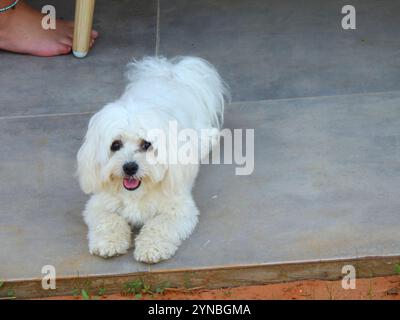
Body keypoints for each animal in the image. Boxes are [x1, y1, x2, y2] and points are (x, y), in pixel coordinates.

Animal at [76, 56, 230, 264]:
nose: (130, 167)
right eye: (115, 145)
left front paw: (151, 248)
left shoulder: (178, 208)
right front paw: (109, 243)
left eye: (146, 144)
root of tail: (169, 74)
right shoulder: (99, 204)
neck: (137, 192)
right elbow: (109, 221)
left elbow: (159, 225)